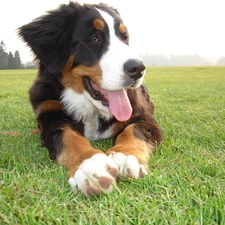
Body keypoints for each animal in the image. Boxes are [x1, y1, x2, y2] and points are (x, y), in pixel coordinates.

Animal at [17, 0, 162, 196]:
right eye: (94, 39)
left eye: (124, 38)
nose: (138, 68)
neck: (91, 108)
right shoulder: (50, 115)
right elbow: (70, 138)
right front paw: (90, 165)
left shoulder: (143, 116)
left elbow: (134, 130)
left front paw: (125, 156)